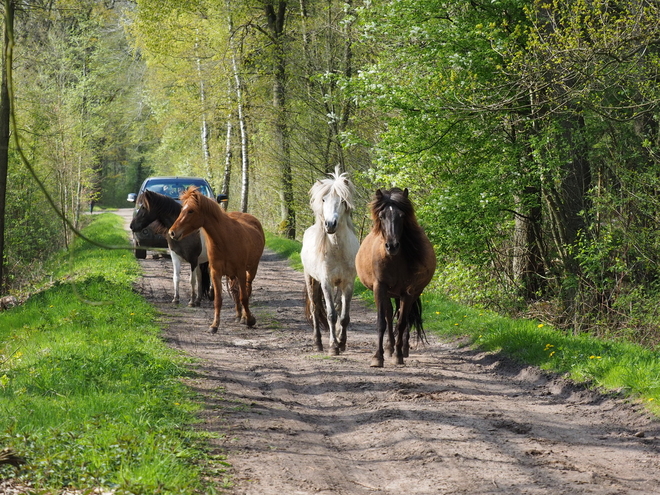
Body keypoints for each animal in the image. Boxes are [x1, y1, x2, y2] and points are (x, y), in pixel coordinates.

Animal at [168, 188, 266, 336]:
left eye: (190, 211)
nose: (172, 232)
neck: (225, 238)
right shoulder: (216, 273)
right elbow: (218, 300)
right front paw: (214, 325)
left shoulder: (241, 271)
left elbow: (244, 296)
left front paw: (250, 320)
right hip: (231, 275)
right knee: (235, 291)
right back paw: (238, 315)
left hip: (251, 269)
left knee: (246, 290)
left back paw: (244, 317)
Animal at [300, 167, 358, 356]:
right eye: (324, 199)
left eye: (342, 200)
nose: (330, 224)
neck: (337, 250)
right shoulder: (326, 283)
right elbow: (331, 314)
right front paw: (333, 347)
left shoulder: (348, 283)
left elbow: (344, 316)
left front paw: (342, 342)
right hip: (310, 279)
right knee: (315, 308)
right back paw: (318, 343)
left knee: (338, 307)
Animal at [358, 188, 436, 366]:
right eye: (381, 216)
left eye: (401, 216)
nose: (392, 246)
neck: (394, 260)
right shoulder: (379, 288)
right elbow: (382, 322)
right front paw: (377, 357)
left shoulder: (408, 292)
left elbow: (401, 322)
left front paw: (398, 356)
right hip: (387, 293)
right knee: (388, 314)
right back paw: (389, 347)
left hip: (410, 293)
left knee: (405, 317)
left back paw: (402, 349)